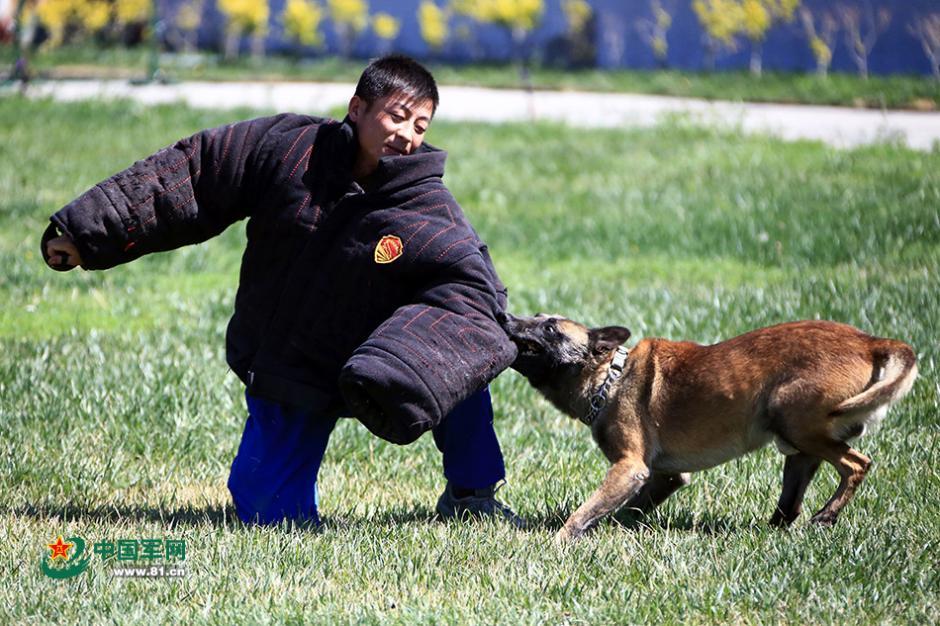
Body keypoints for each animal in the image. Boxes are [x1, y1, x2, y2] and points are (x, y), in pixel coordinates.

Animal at [504, 314, 916, 540]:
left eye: (550, 327)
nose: (505, 318)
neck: (611, 378)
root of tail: (870, 342)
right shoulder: (666, 476)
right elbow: (628, 509)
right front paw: (616, 528)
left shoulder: (629, 468)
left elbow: (584, 512)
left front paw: (556, 542)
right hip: (795, 446)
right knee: (791, 503)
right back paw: (773, 529)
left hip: (794, 418)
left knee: (857, 464)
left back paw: (826, 516)